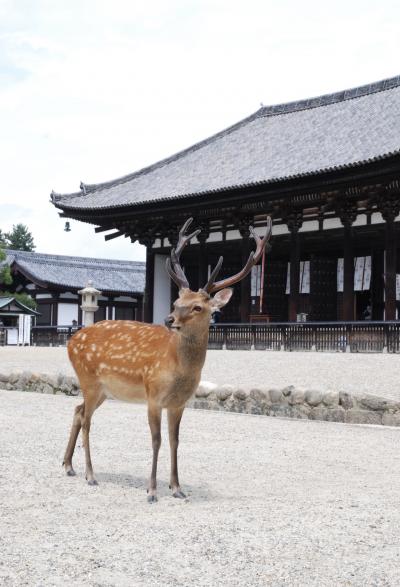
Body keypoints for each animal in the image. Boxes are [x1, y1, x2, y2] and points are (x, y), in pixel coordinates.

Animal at [63, 218, 272, 504]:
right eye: (176, 301)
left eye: (198, 307)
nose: (168, 319)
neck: (178, 368)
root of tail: (70, 342)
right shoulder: (153, 395)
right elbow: (156, 440)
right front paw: (151, 491)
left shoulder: (179, 403)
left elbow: (175, 440)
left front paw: (177, 488)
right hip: (89, 380)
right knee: (86, 420)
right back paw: (90, 475)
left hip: (103, 390)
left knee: (77, 410)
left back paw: (68, 466)